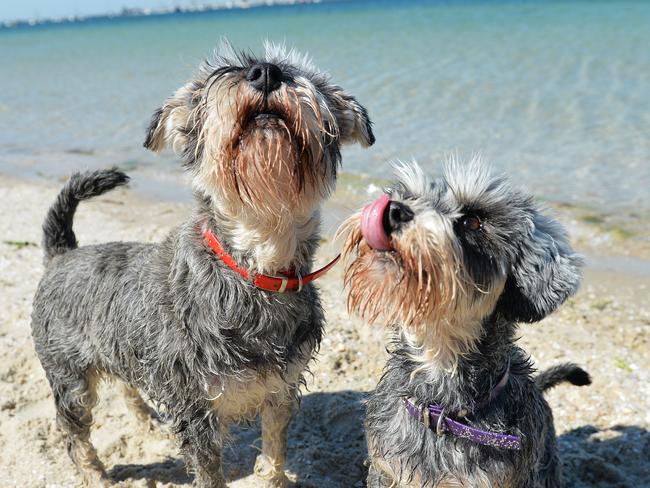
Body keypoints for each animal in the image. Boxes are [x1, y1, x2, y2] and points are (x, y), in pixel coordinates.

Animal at [31, 43, 374, 488]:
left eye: (301, 73)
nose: (266, 72)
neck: (255, 265)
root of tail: (62, 254)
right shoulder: (197, 410)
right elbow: (210, 472)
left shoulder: (280, 388)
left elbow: (274, 450)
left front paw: (274, 478)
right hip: (69, 379)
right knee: (75, 434)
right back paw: (97, 476)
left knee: (126, 385)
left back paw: (146, 423)